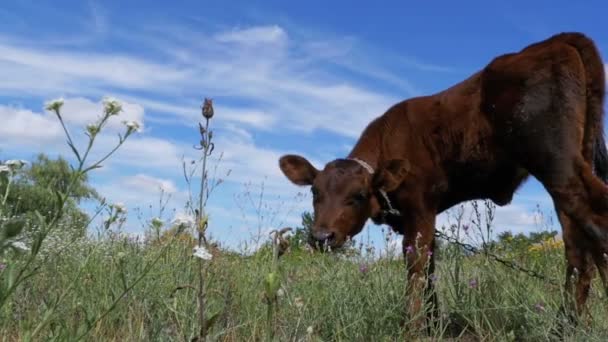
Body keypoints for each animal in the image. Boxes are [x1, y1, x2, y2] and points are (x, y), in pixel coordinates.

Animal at [280, 32, 608, 328]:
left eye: (358, 196)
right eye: (315, 192)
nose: (321, 237)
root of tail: (556, 40)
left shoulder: (420, 206)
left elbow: (416, 266)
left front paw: (413, 329)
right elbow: (430, 267)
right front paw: (433, 323)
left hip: (554, 161)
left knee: (594, 226)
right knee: (579, 250)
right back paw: (565, 326)